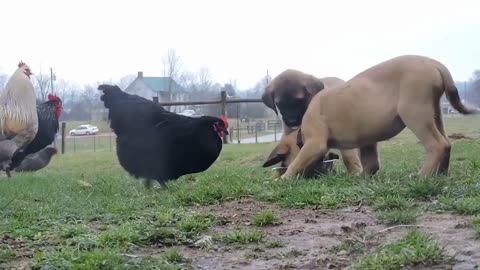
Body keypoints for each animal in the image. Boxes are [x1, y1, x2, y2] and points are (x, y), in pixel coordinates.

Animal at [280, 54, 478, 180]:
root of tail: (433, 63)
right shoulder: (367, 141)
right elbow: (370, 163)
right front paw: (360, 177)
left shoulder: (315, 143)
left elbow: (296, 162)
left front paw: (283, 178)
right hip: (434, 112)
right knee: (447, 144)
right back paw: (440, 174)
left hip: (415, 113)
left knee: (438, 145)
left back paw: (422, 176)